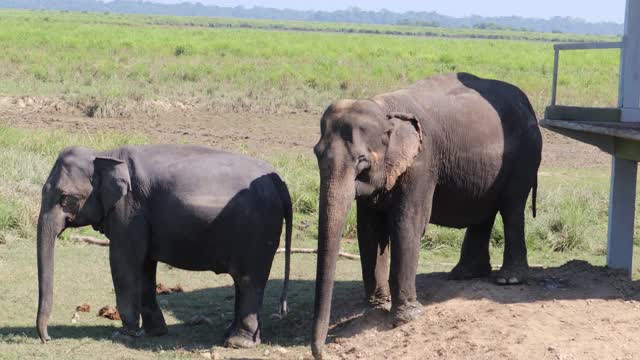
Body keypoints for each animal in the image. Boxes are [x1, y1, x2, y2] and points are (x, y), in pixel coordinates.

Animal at [37, 143, 292, 348]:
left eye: (65, 197)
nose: (47, 338)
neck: (104, 154)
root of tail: (279, 181)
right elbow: (145, 266)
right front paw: (155, 332)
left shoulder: (129, 211)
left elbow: (123, 262)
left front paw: (124, 336)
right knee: (243, 282)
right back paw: (232, 336)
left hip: (258, 231)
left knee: (249, 280)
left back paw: (237, 343)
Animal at [312, 72, 544, 358]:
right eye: (316, 154)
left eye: (361, 162)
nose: (321, 352)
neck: (384, 108)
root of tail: (528, 104)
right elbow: (369, 230)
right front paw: (375, 306)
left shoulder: (421, 164)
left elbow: (407, 223)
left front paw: (405, 318)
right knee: (484, 212)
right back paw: (465, 274)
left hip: (526, 155)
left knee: (512, 207)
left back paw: (508, 279)